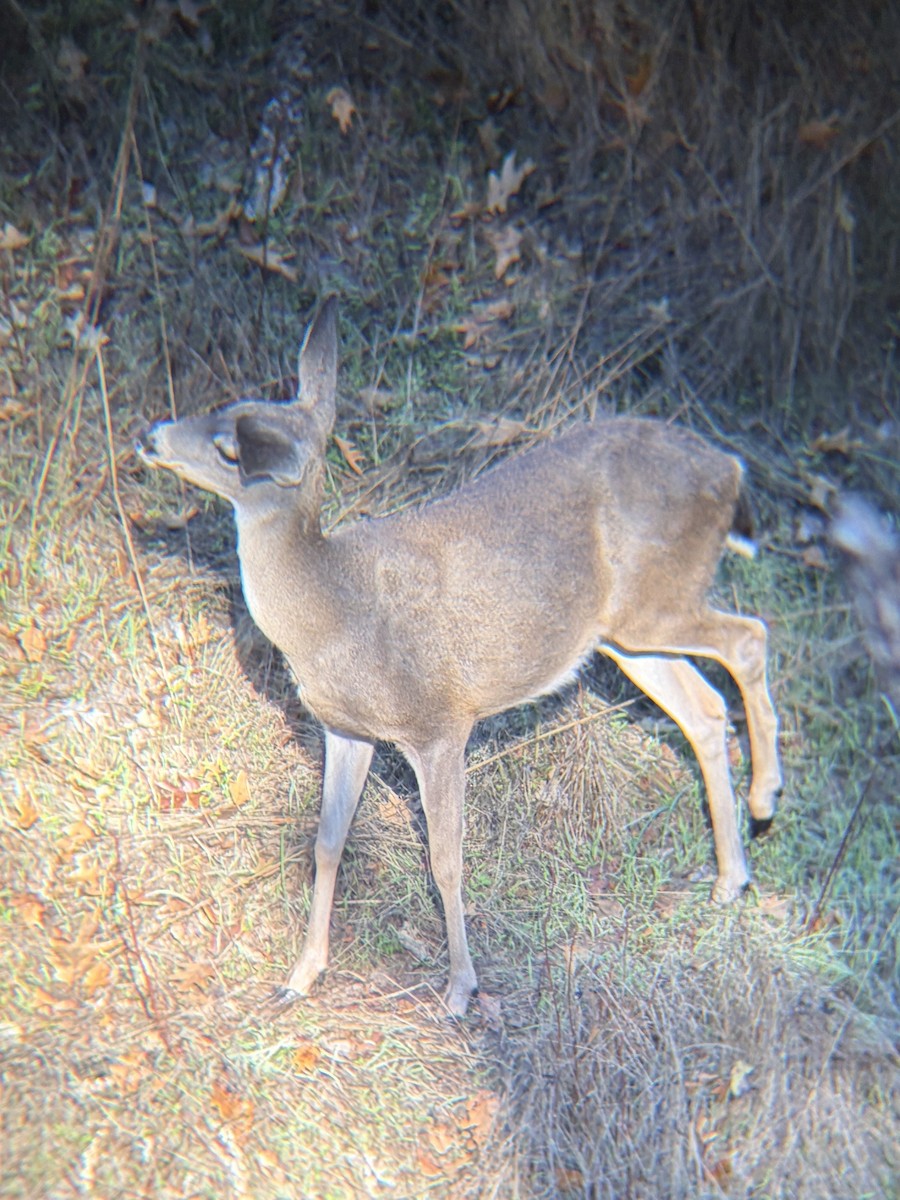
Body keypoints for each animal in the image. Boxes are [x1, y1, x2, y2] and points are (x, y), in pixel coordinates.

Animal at [137, 296, 782, 1017]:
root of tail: (731, 469)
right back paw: (730, 878)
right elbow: (328, 843)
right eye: (225, 407)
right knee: (703, 706)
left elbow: (446, 858)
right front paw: (301, 974)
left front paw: (460, 987)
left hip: (656, 602)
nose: (153, 435)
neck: (331, 611)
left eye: (232, 449)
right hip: (624, 634)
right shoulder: (345, 729)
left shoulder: (440, 722)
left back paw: (765, 800)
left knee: (749, 638)